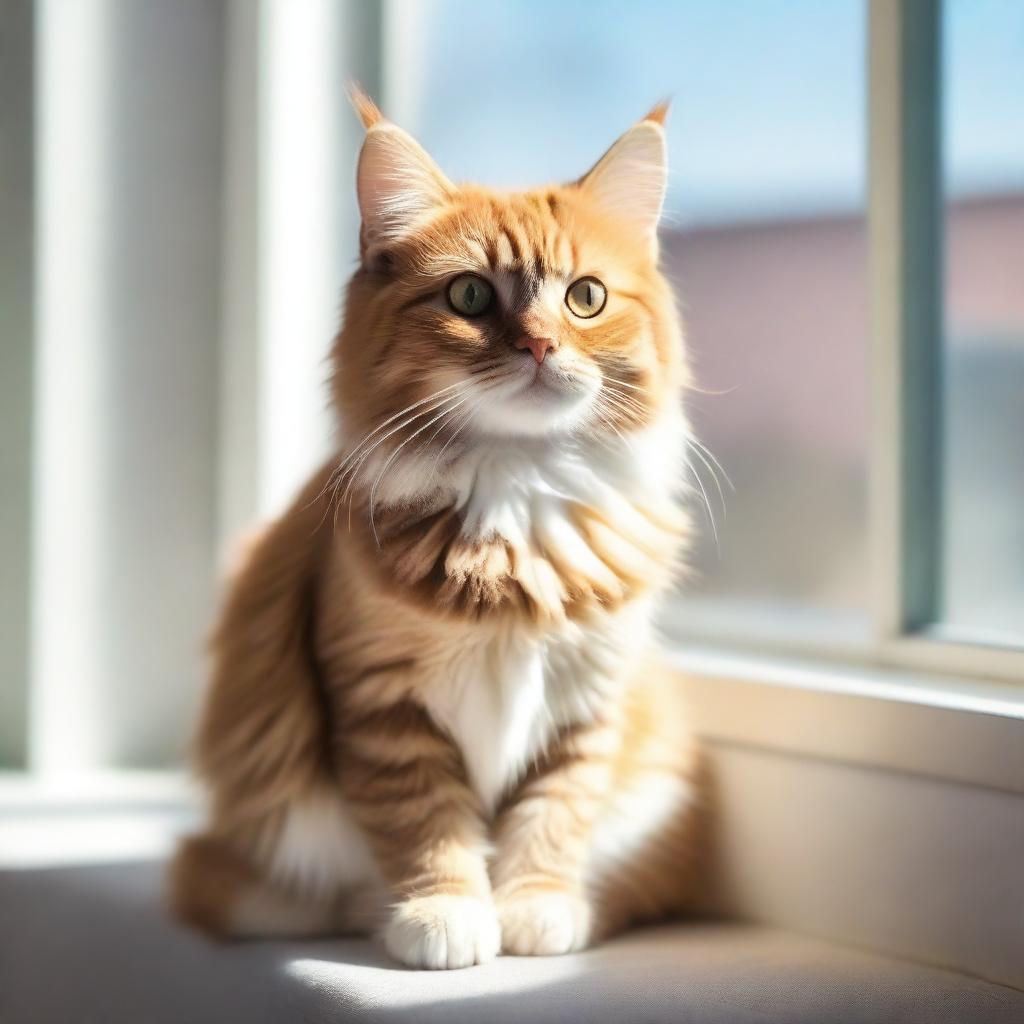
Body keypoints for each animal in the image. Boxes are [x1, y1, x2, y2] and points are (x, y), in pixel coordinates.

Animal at [172, 86, 708, 966]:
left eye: (585, 297)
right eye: (470, 297)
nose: (539, 345)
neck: (516, 492)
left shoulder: (588, 702)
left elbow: (552, 815)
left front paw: (535, 908)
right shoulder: (383, 706)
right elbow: (429, 828)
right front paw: (444, 915)